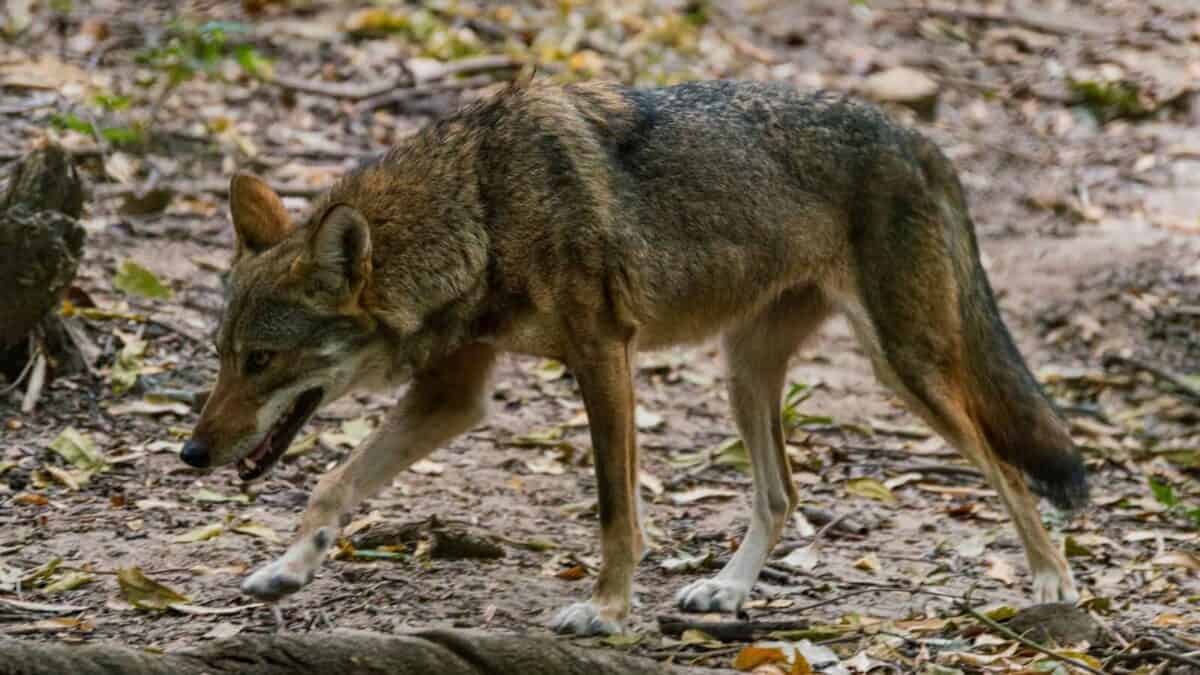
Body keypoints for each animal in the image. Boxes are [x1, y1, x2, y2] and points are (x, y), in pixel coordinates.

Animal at [180, 79, 1087, 635]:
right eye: (222, 356)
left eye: (261, 360)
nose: (191, 452)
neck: (481, 207)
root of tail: (918, 136)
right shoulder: (454, 393)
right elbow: (335, 484)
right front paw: (286, 569)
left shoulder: (601, 355)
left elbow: (617, 511)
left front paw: (606, 610)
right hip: (743, 369)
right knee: (782, 493)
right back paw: (727, 591)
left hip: (907, 372)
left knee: (1007, 468)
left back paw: (1053, 583)